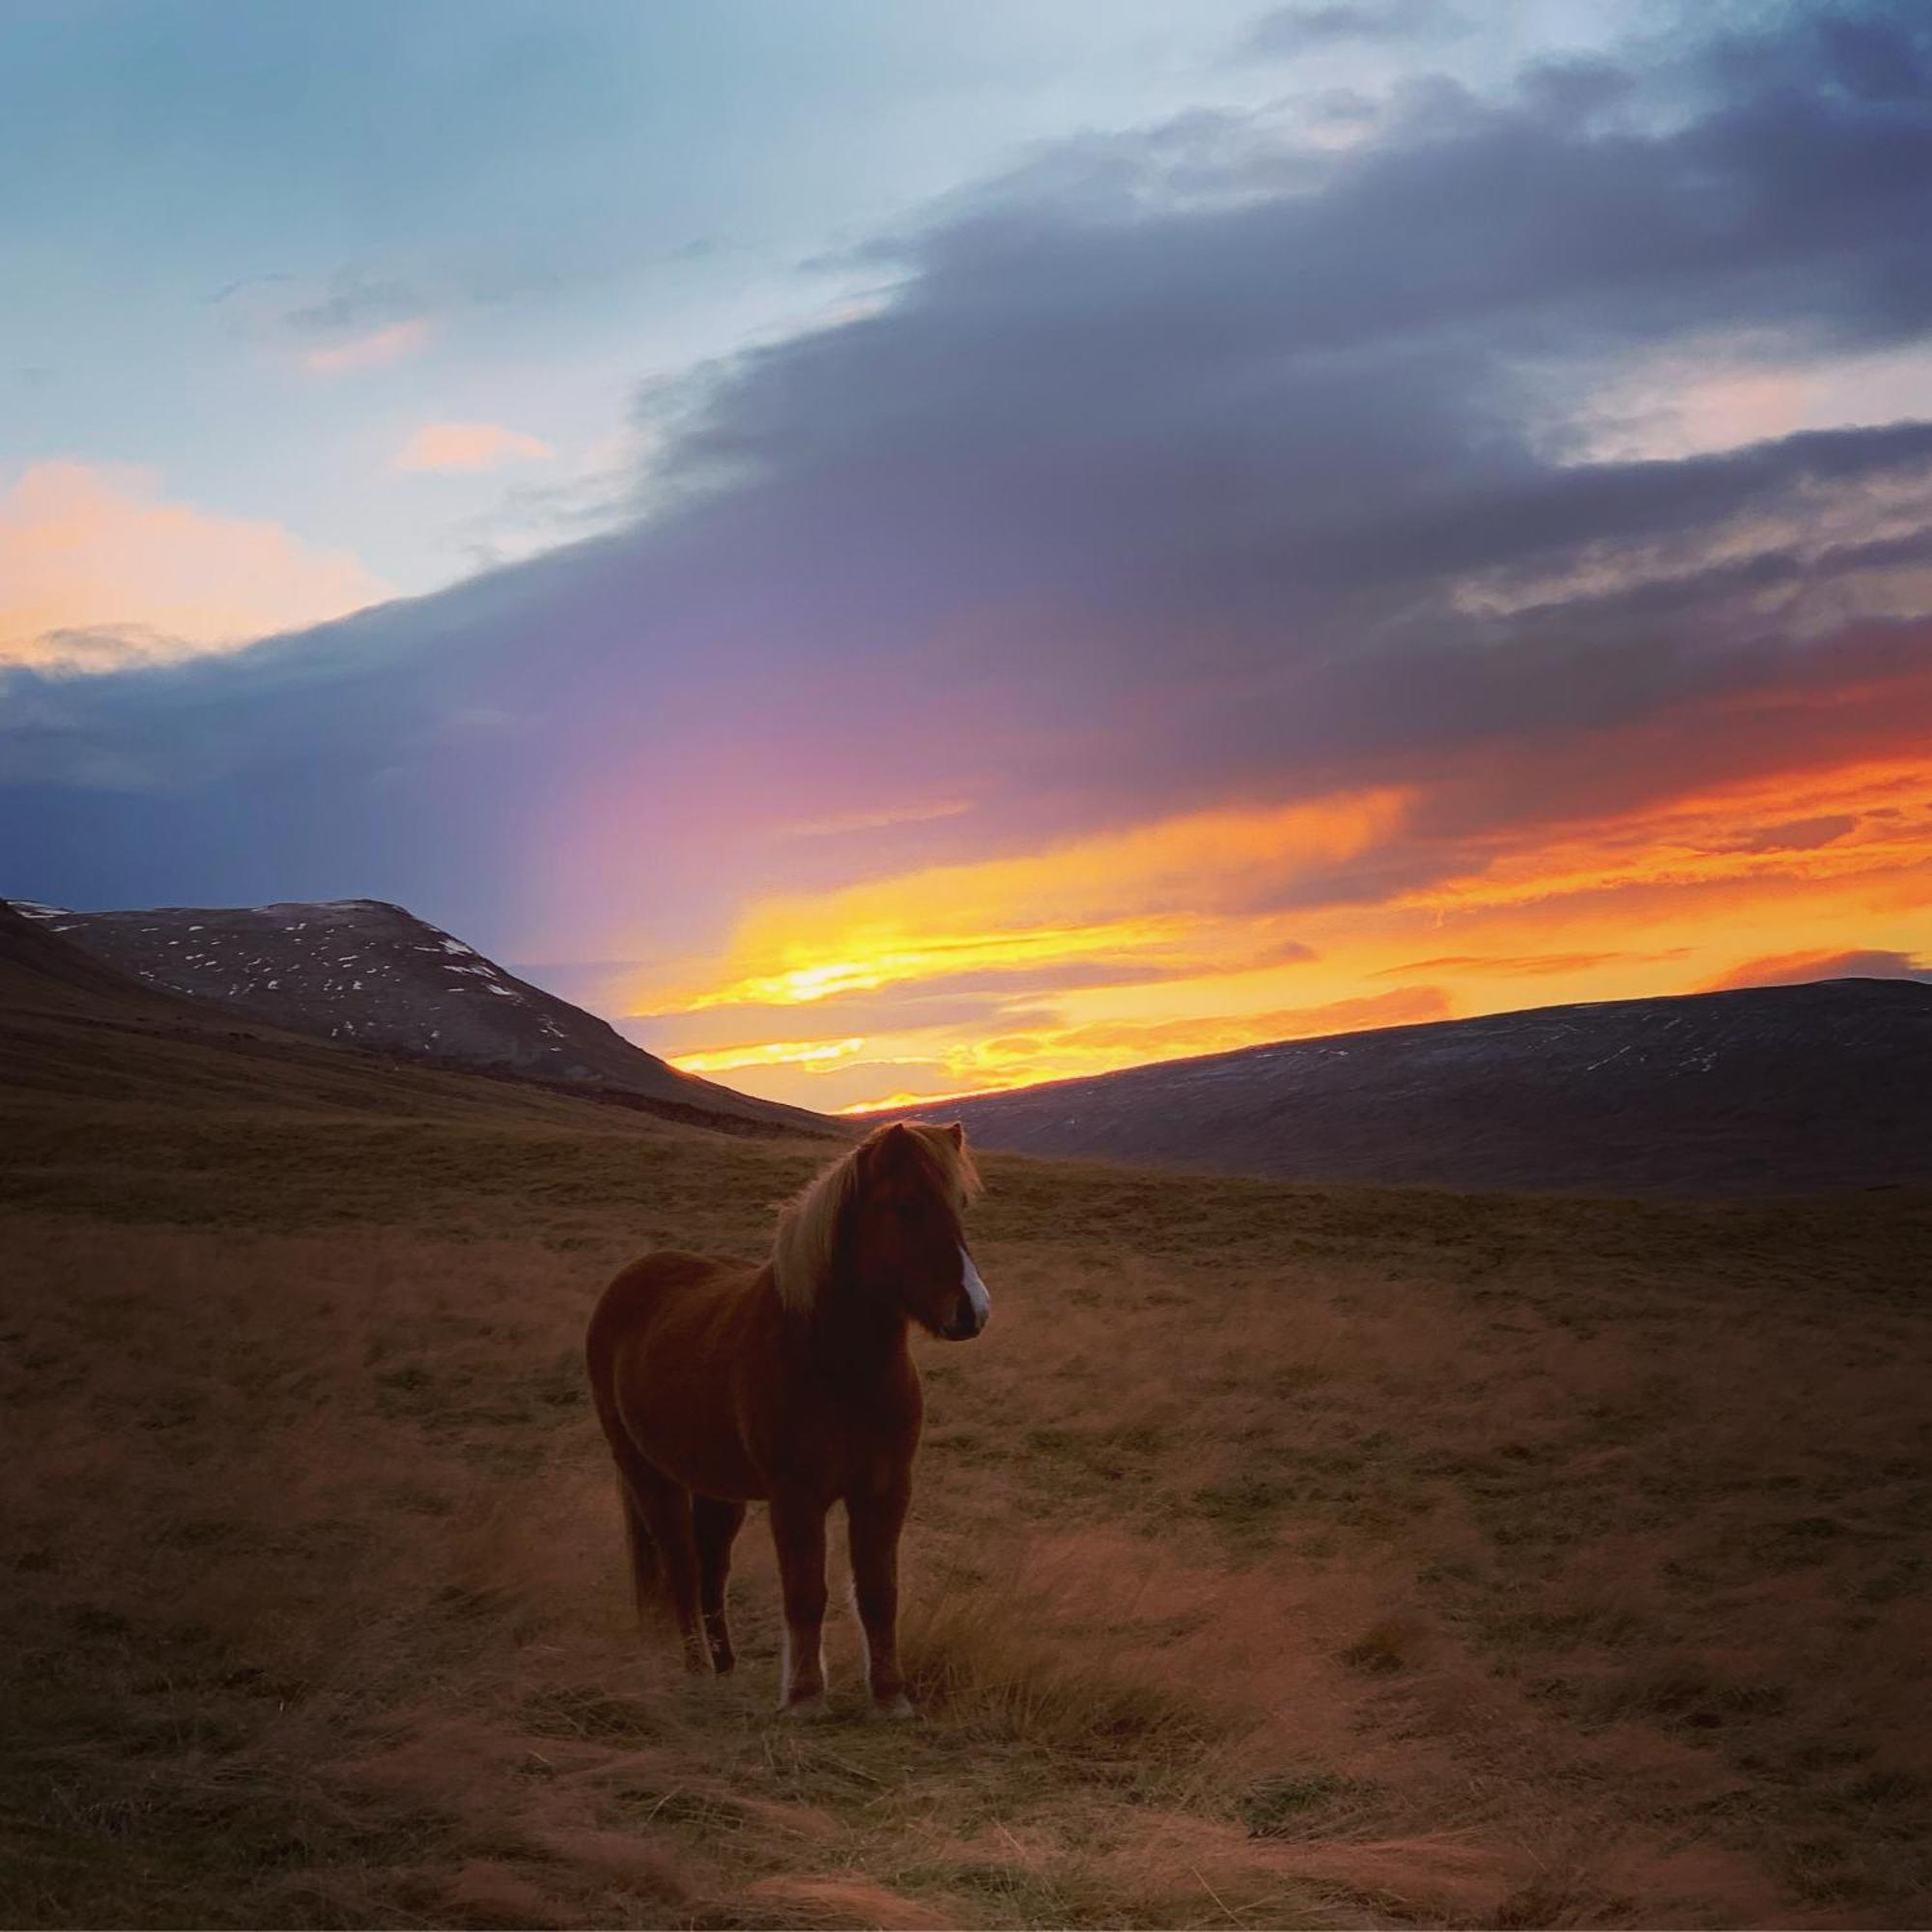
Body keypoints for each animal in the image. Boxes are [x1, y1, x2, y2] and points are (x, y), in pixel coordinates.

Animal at [580, 1121, 989, 1723]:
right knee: (681, 1567)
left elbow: (878, 1592)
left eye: (960, 1204)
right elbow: (805, 1592)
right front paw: (803, 1696)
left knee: (710, 1571)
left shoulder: (886, 1490)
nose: (972, 1311)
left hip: (717, 1490)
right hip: (650, 1476)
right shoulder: (797, 1496)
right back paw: (696, 1669)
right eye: (907, 1205)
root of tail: (630, 1281)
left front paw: (890, 1696)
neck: (836, 1363)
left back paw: (725, 1668)